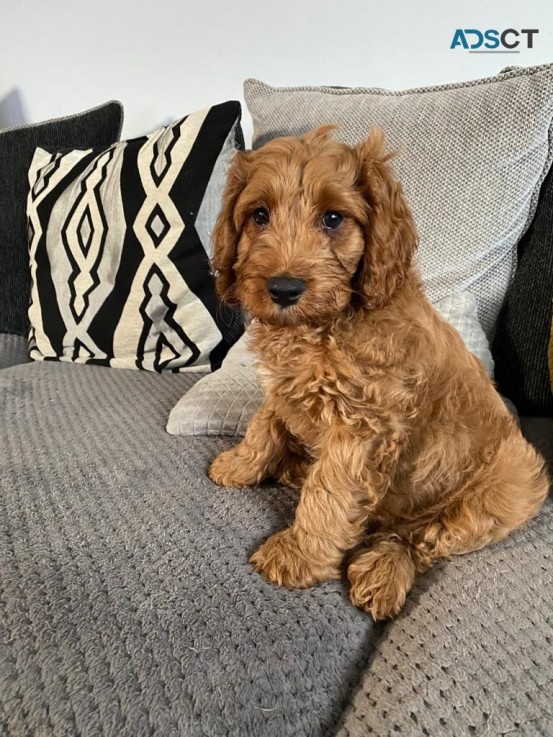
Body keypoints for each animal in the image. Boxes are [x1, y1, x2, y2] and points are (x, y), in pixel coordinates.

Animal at [207, 123, 548, 620]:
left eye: (333, 219)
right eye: (259, 215)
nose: (284, 289)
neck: (323, 326)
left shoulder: (362, 427)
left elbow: (330, 494)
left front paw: (298, 555)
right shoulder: (285, 387)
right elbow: (263, 424)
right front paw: (240, 464)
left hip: (501, 496)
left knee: (420, 538)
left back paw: (384, 571)